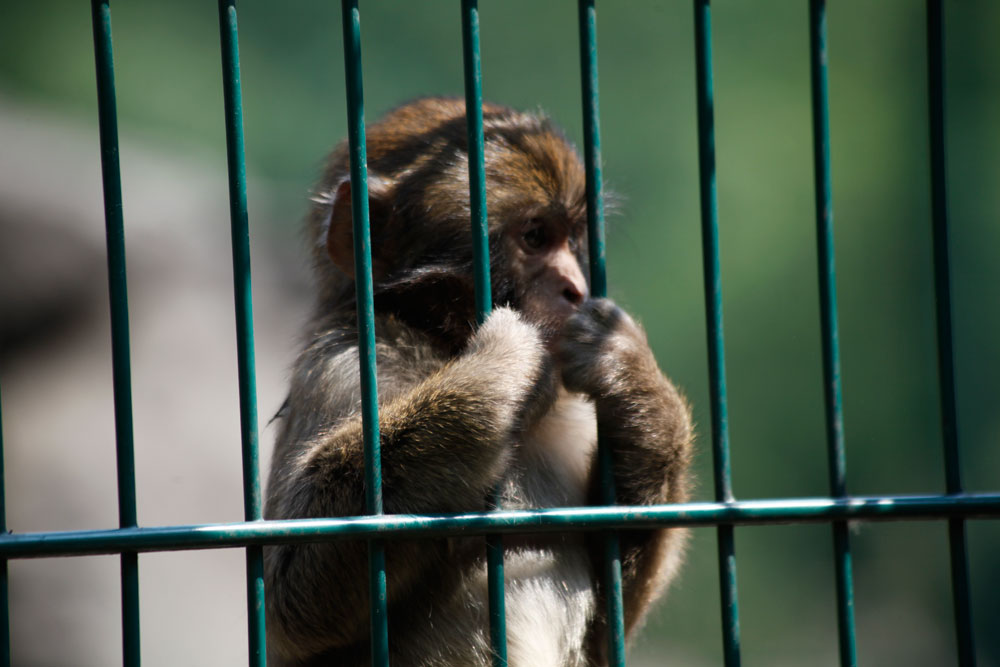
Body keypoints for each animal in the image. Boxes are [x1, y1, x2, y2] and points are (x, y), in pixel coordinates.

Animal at [262, 95, 692, 667]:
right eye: (535, 237)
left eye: (572, 239)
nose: (576, 289)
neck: (439, 338)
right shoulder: (342, 367)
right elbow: (291, 604)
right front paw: (500, 374)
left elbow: (608, 634)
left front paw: (636, 384)